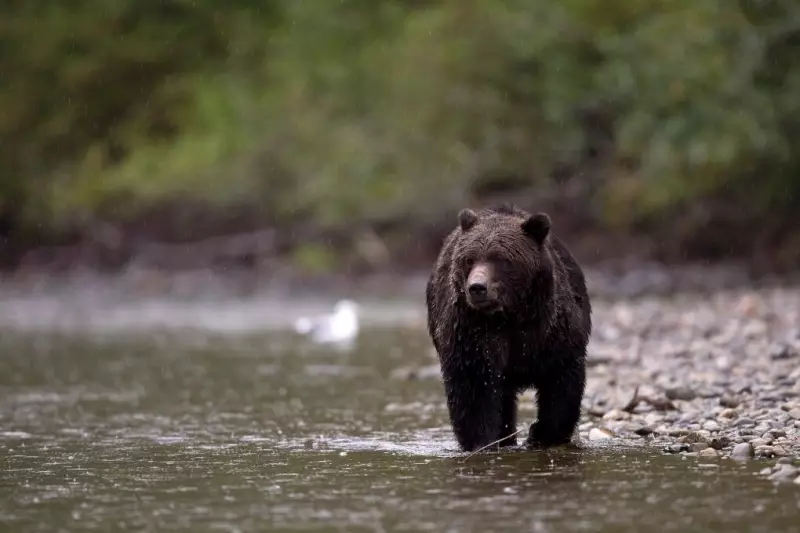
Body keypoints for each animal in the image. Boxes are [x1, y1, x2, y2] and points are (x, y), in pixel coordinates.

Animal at [425, 203, 591, 452]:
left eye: (501, 259)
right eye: (469, 259)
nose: (477, 287)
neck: (510, 316)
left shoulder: (553, 331)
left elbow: (562, 381)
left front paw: (541, 434)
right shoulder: (472, 332)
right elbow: (473, 387)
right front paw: (482, 441)